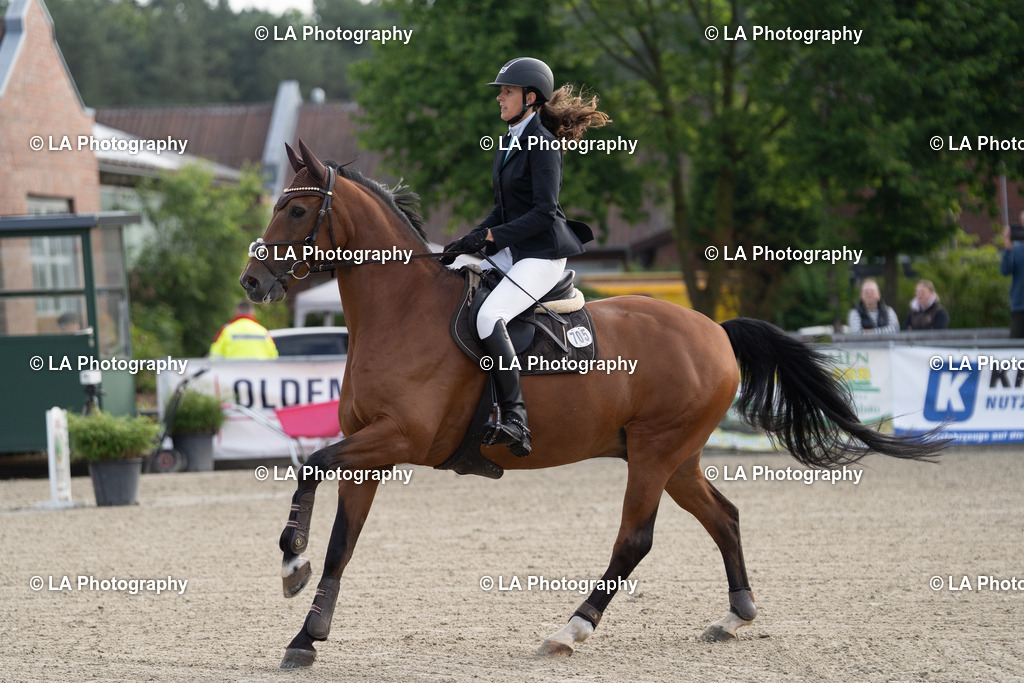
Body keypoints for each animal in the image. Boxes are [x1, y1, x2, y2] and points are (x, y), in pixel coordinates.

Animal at [240, 141, 944, 670]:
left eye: (297, 211)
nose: (251, 281)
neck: (400, 310)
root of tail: (715, 331)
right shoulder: (372, 450)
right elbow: (342, 543)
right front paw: (305, 632)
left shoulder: (399, 439)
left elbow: (312, 466)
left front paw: (291, 563)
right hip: (675, 455)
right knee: (724, 517)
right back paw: (735, 615)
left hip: (656, 452)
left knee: (635, 539)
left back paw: (570, 630)